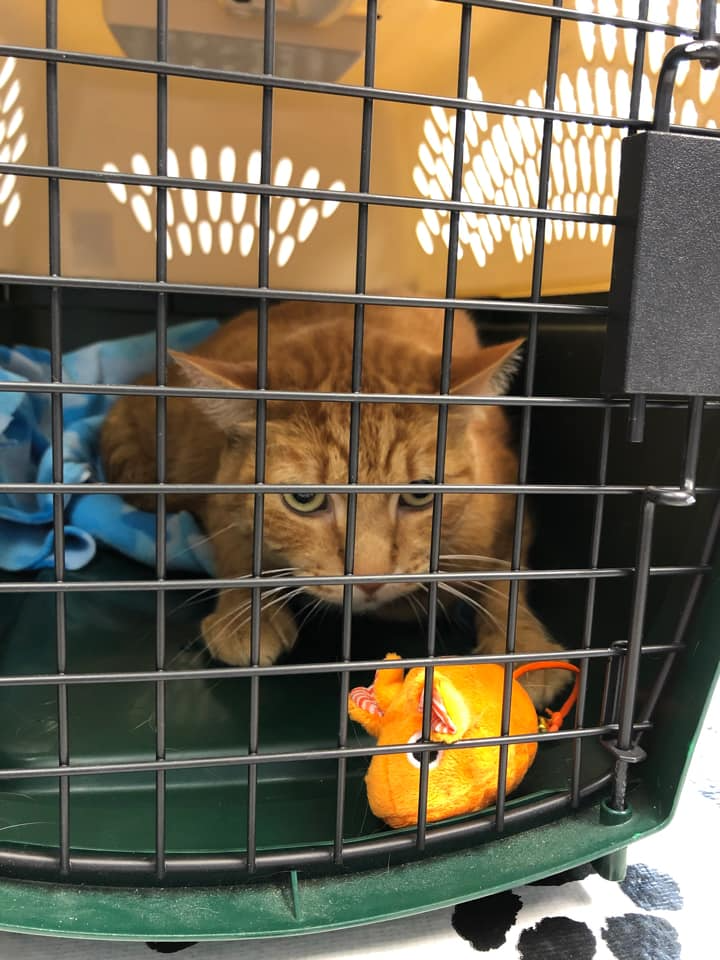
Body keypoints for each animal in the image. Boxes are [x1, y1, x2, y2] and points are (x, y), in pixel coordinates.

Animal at [101, 304, 564, 700]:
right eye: (305, 499)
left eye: (419, 493)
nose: (371, 580)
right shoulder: (220, 499)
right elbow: (236, 548)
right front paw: (247, 615)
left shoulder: (511, 508)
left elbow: (508, 581)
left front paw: (522, 646)